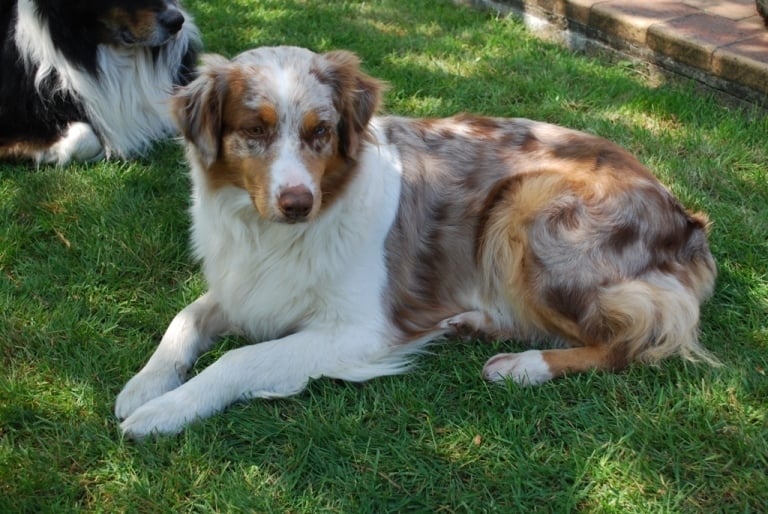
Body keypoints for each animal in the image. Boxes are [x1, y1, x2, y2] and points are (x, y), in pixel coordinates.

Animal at [115, 46, 718, 438]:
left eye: (319, 132)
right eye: (255, 130)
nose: (297, 202)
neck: (270, 234)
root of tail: (686, 219)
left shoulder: (360, 330)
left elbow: (238, 360)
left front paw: (164, 412)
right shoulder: (244, 286)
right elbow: (184, 319)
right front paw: (144, 386)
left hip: (530, 205)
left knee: (629, 344)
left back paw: (522, 366)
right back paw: (471, 324)